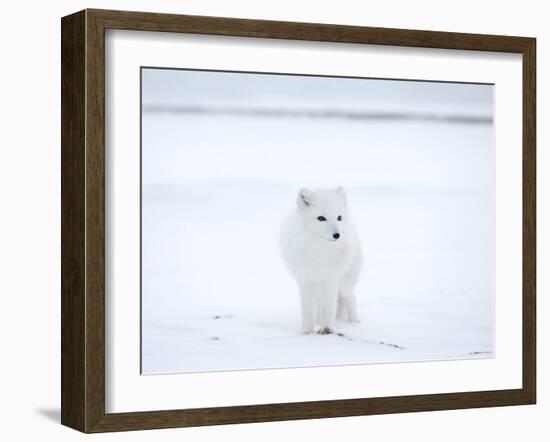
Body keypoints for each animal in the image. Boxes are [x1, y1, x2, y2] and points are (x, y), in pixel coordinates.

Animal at [282, 186, 364, 334]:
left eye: (339, 217)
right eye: (321, 218)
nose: (337, 235)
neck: (321, 251)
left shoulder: (331, 278)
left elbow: (330, 306)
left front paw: (327, 328)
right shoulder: (305, 279)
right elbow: (307, 307)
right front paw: (307, 331)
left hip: (344, 283)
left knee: (350, 298)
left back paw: (354, 322)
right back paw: (317, 321)